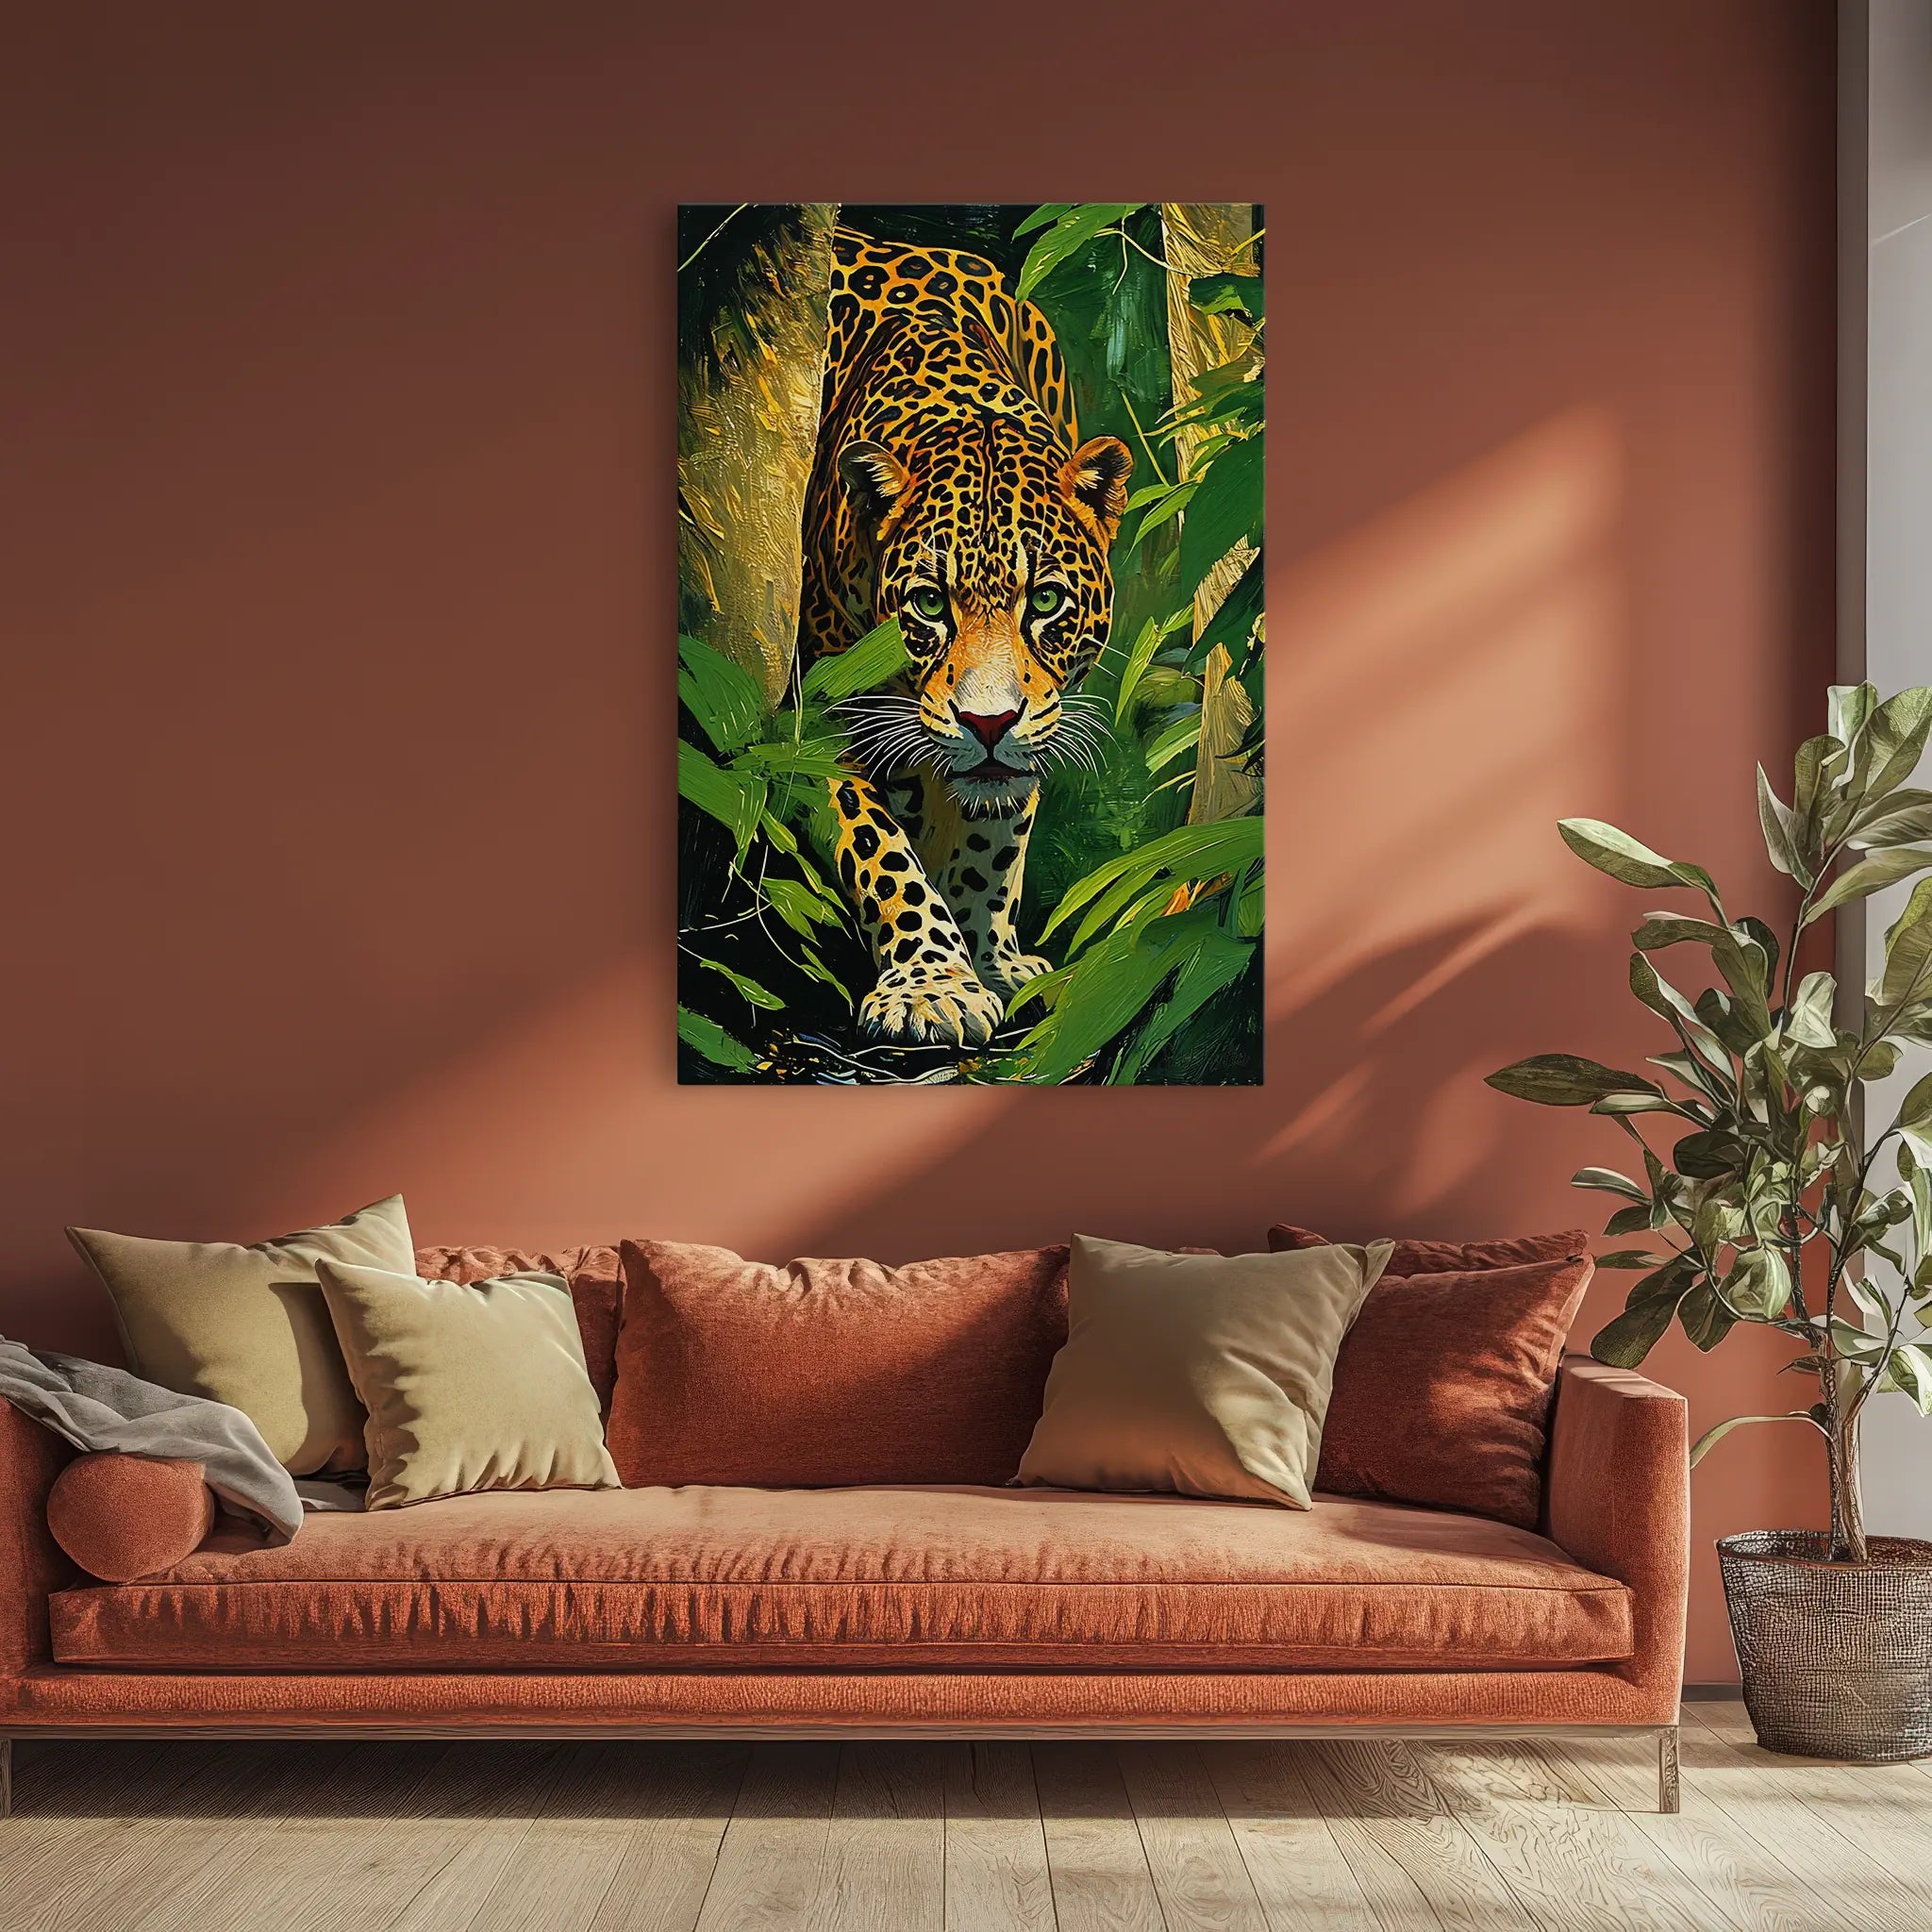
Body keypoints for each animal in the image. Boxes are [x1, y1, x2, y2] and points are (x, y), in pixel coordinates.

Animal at [799, 226, 1133, 1049]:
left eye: (1044, 600)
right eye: (927, 603)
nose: (988, 723)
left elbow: (995, 839)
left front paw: (990, 959)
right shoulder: (822, 716)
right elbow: (881, 850)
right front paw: (933, 983)